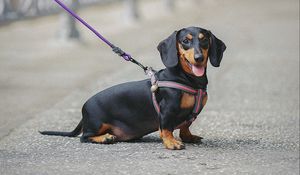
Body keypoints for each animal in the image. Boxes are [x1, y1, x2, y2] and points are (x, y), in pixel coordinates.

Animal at [41, 26, 226, 150]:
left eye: (204, 39)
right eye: (185, 41)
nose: (199, 58)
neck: (188, 79)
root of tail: (84, 109)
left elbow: (186, 126)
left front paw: (188, 137)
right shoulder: (167, 111)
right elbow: (166, 129)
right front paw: (171, 142)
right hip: (97, 123)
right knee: (84, 137)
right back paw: (105, 138)